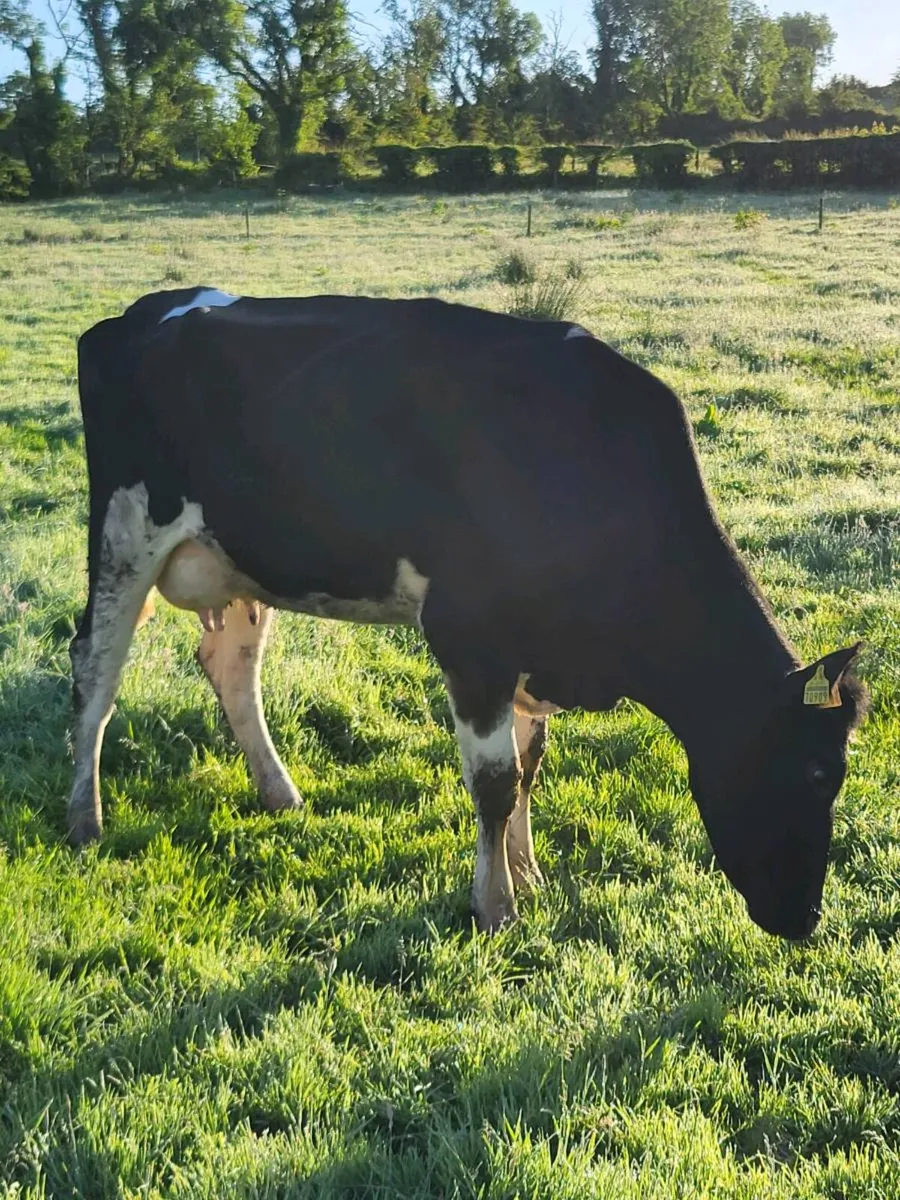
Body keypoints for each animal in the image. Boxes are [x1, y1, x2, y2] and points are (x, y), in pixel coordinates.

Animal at [67, 286, 868, 940]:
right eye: (813, 773)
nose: (806, 919)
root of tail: (139, 313)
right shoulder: (469, 637)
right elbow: (495, 783)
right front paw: (496, 907)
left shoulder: (531, 653)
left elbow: (530, 767)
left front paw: (530, 875)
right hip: (124, 531)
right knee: (94, 672)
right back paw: (85, 818)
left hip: (239, 557)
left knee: (231, 670)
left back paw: (279, 793)